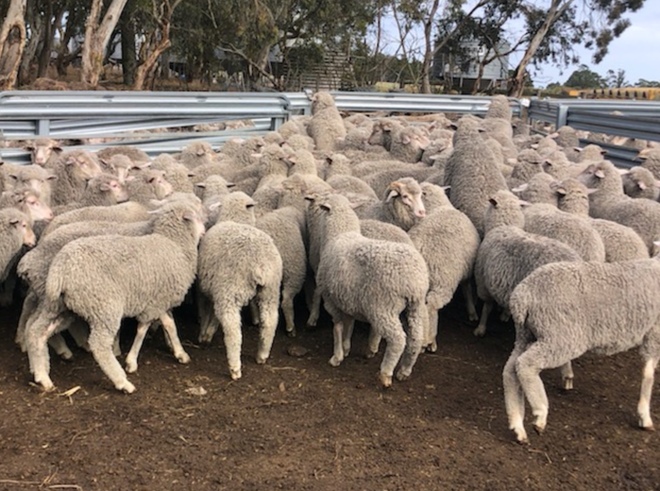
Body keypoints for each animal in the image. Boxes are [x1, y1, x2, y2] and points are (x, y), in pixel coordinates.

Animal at [25, 201, 206, 393]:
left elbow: (169, 325)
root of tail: (60, 269)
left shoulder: (157, 300)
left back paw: (42, 376)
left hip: (58, 306)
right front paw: (131, 362)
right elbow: (143, 329)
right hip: (104, 307)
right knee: (99, 345)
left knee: (37, 332)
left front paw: (180, 353)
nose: (204, 230)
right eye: (197, 216)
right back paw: (122, 382)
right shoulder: (155, 302)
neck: (174, 243)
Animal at [197, 192, 282, 380]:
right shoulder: (217, 289)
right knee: (270, 320)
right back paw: (262, 355)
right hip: (270, 291)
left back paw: (235, 368)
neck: (234, 218)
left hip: (231, 289)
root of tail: (260, 264)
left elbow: (205, 311)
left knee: (232, 328)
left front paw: (203, 334)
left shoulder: (205, 289)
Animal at [311, 192, 430, 387]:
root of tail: (412, 281)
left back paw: (386, 373)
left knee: (398, 339)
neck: (340, 234)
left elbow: (338, 327)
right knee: (416, 338)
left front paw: (337, 356)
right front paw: (346, 348)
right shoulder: (347, 297)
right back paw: (404, 370)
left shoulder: (330, 299)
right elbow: (349, 324)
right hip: (416, 305)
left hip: (383, 306)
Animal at [504, 255, 660, 444]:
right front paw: (645, 416)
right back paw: (540, 413)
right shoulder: (655, 332)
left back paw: (517, 425)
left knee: (510, 371)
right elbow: (648, 374)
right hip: (560, 335)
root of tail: (523, 294)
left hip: (526, 335)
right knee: (526, 364)